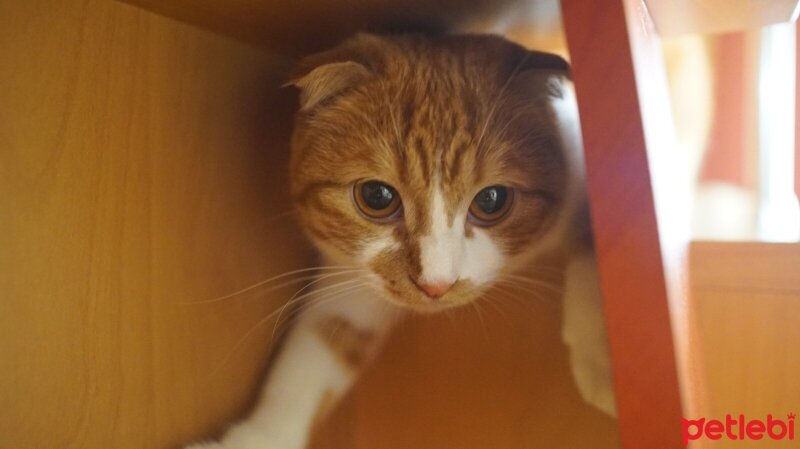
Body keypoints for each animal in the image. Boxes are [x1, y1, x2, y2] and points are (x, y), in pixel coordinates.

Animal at [186, 32, 612, 448]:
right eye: (377, 196)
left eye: (492, 199)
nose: (436, 285)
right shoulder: (352, 282)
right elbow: (315, 354)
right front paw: (259, 435)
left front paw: (601, 353)